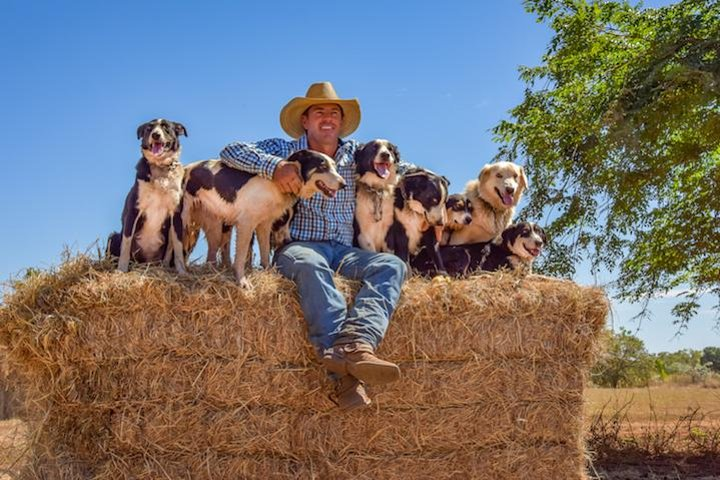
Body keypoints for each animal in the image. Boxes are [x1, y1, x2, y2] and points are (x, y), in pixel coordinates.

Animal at [106, 118, 187, 274]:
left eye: (166, 127)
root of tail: (146, 264)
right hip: (113, 237)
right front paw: (121, 270)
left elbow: (178, 247)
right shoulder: (134, 210)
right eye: (149, 128)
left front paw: (182, 272)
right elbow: (126, 245)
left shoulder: (176, 215)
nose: (156, 135)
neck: (160, 169)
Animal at [183, 150, 346, 286]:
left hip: (215, 226)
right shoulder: (246, 224)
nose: (344, 184)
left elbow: (265, 251)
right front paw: (242, 281)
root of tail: (186, 167)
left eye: (335, 167)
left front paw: (268, 272)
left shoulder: (264, 225)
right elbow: (241, 257)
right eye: (322, 166)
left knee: (212, 253)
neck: (275, 186)